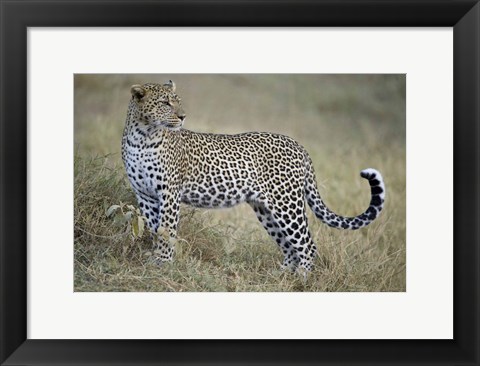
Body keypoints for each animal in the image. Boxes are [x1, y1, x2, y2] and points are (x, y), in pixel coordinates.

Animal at [121, 81, 386, 272]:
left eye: (178, 102)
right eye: (165, 103)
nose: (183, 116)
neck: (142, 136)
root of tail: (299, 146)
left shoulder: (169, 193)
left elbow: (167, 230)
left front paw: (164, 263)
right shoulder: (145, 194)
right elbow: (155, 229)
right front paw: (155, 259)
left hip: (287, 204)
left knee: (307, 245)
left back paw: (302, 279)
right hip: (266, 209)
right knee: (289, 247)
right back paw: (281, 276)